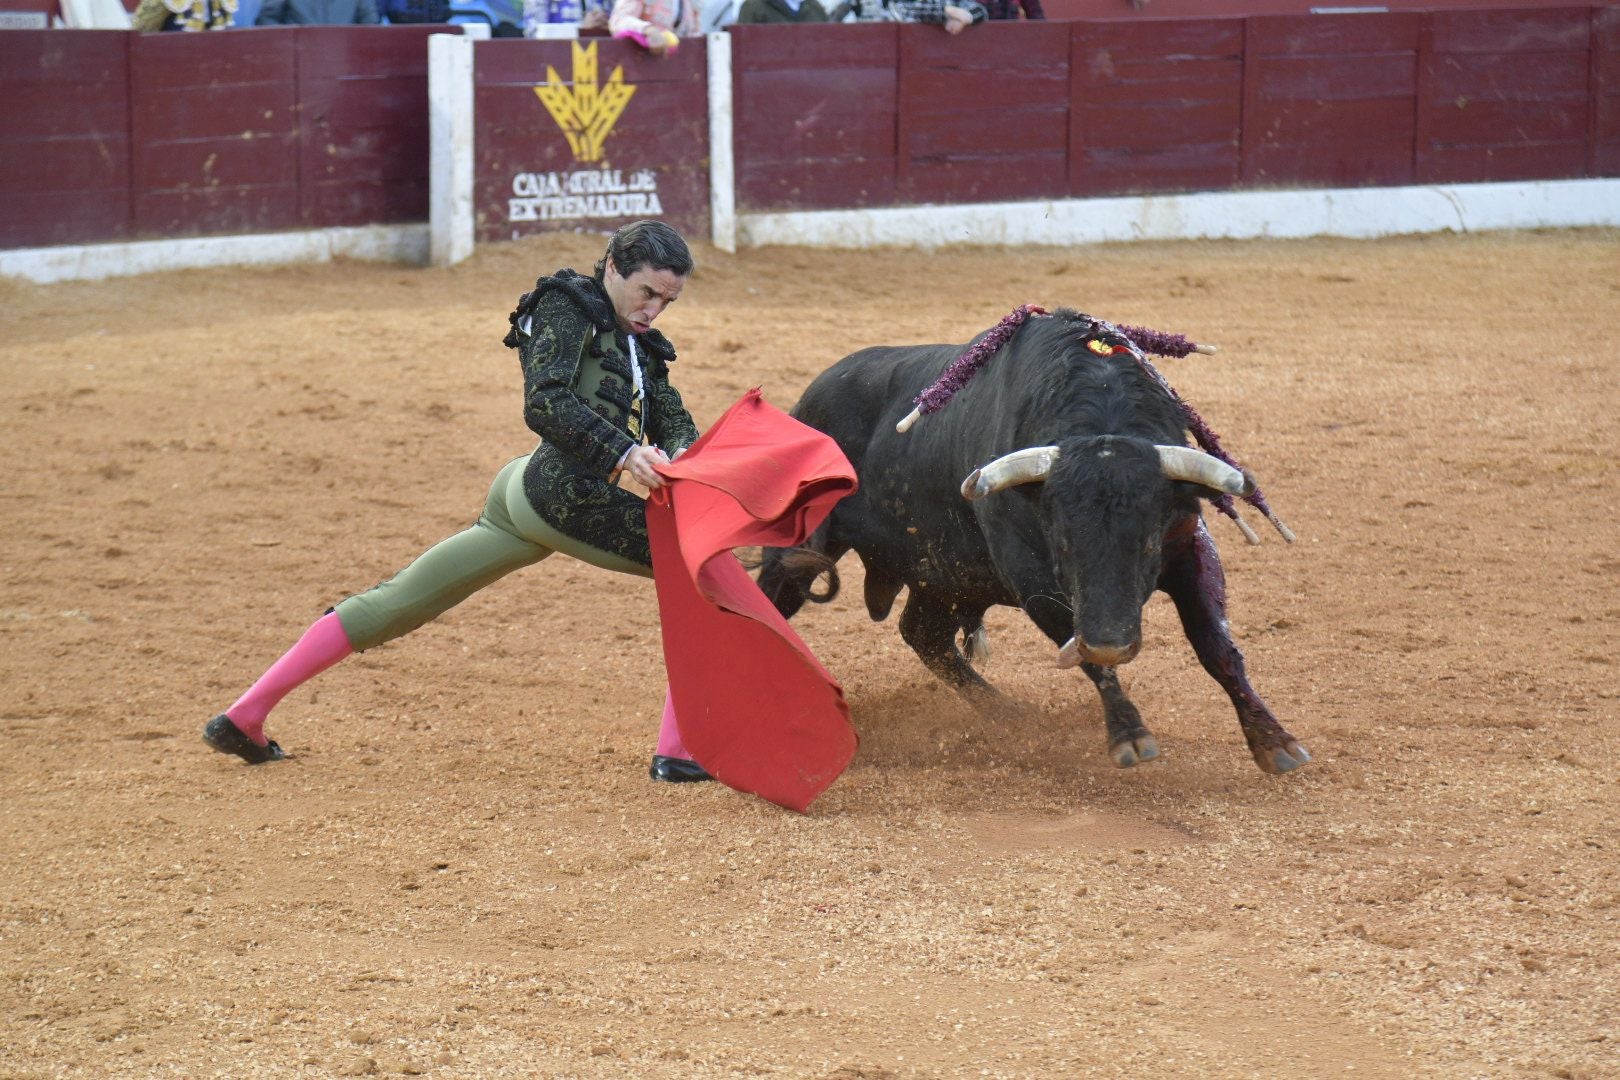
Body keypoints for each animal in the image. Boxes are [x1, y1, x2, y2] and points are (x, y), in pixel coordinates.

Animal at [754, 307, 1302, 773]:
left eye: (1147, 540)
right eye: (1061, 541)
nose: (1110, 643)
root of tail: (805, 403)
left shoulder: (1189, 547)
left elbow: (1217, 645)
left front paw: (1273, 740)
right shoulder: (1032, 578)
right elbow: (1081, 653)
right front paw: (1129, 735)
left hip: (945, 577)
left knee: (925, 635)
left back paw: (1010, 714)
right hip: (796, 556)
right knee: (770, 607)